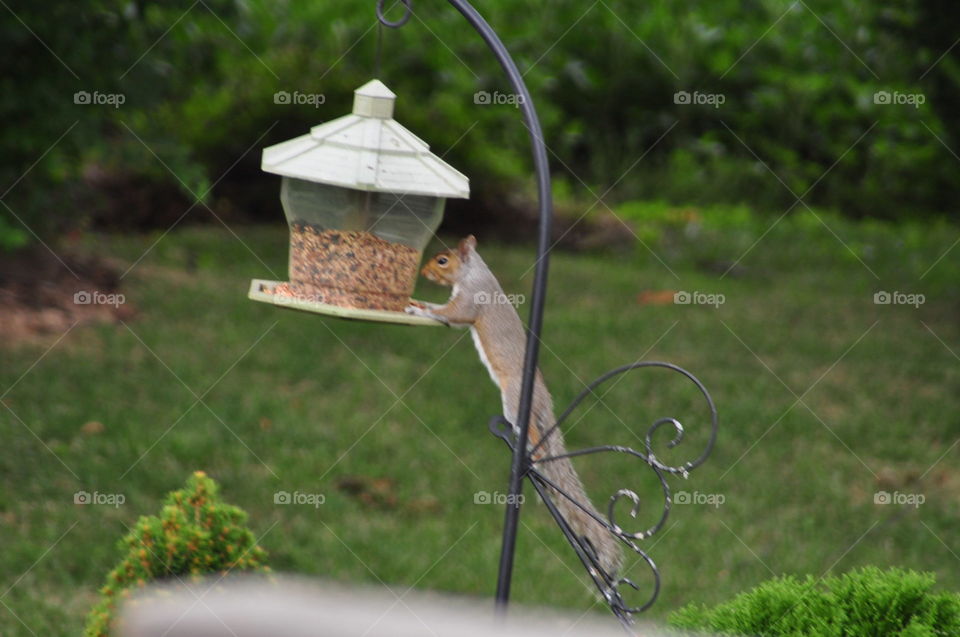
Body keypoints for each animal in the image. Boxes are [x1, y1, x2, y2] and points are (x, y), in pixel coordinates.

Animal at [406, 235, 623, 582]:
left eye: (442, 260)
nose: (425, 271)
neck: (474, 273)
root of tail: (543, 399)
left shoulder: (469, 301)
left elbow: (449, 315)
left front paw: (417, 306)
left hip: (513, 400)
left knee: (536, 436)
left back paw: (532, 454)